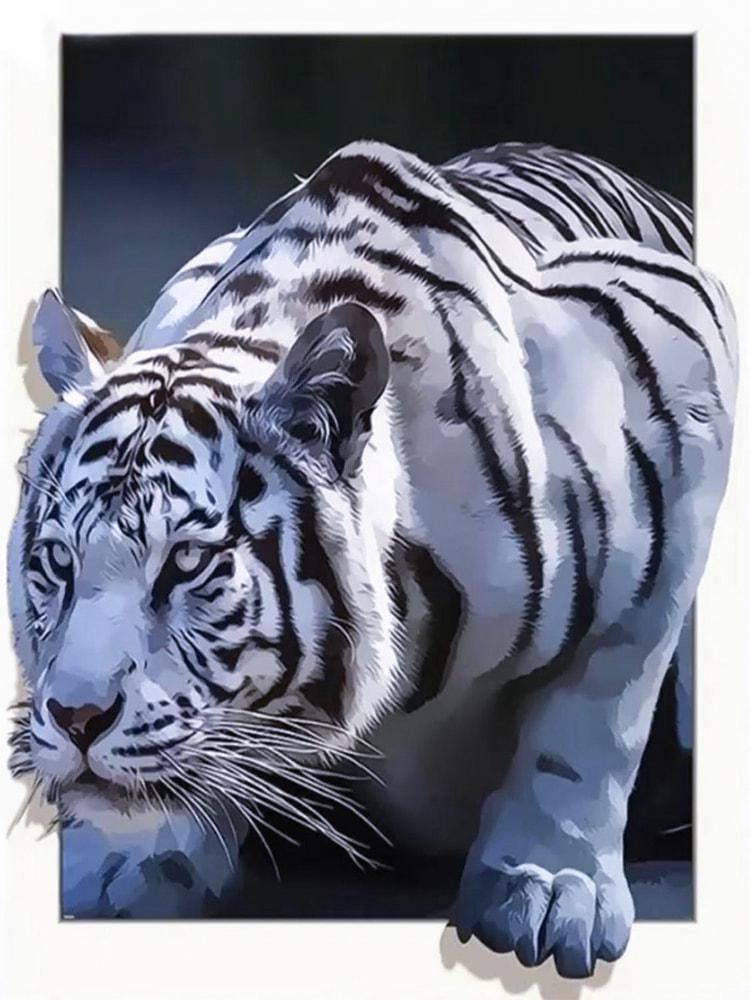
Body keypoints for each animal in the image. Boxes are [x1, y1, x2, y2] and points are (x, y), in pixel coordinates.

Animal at [8, 140, 736, 977]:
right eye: (58, 561)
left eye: (188, 561)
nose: (76, 719)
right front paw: (128, 854)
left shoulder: (684, 373)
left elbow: (595, 712)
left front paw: (549, 887)